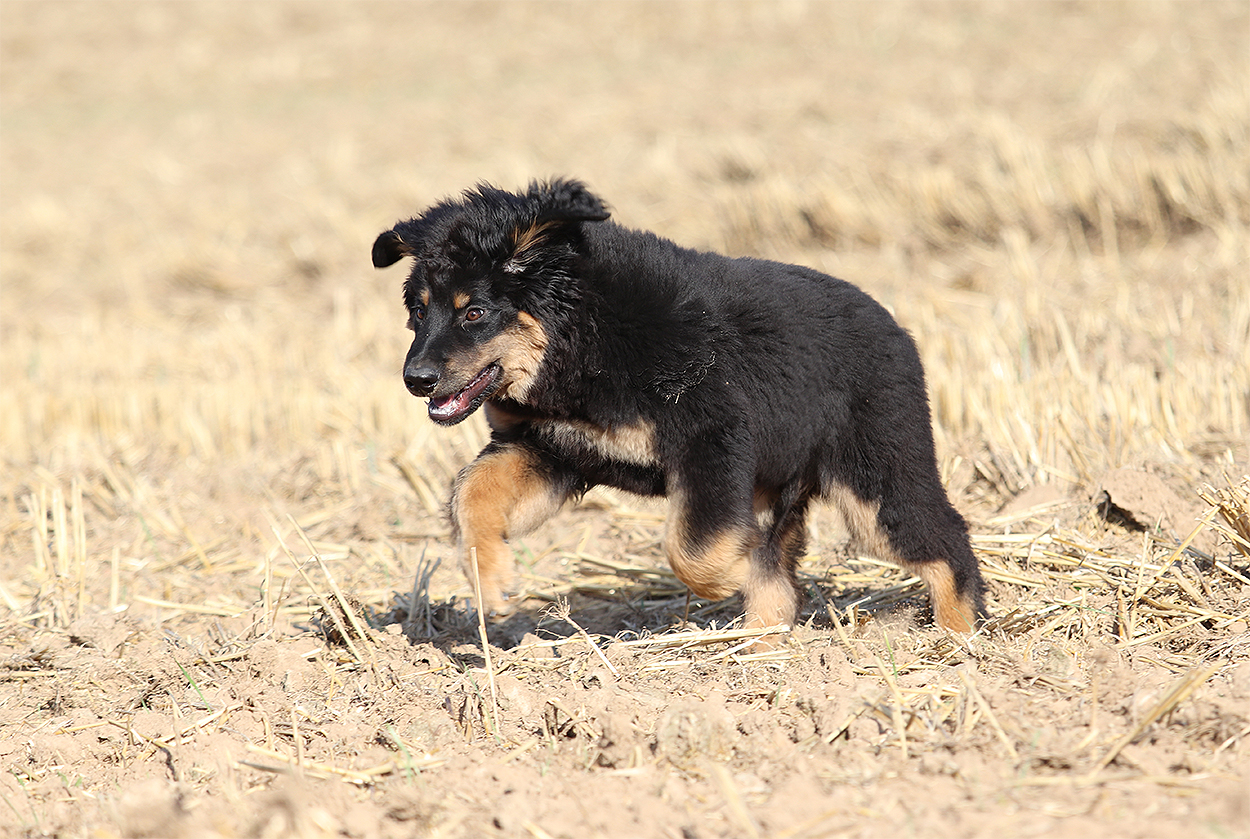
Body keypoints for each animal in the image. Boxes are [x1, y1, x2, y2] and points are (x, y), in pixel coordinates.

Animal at [373, 179, 986, 633]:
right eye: (418, 311)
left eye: (473, 312)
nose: (415, 380)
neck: (585, 337)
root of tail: (895, 327)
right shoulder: (549, 446)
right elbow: (473, 493)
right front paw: (490, 578)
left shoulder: (711, 438)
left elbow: (689, 547)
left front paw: (724, 578)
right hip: (783, 485)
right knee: (781, 565)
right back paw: (760, 649)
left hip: (874, 476)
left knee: (945, 540)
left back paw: (960, 639)